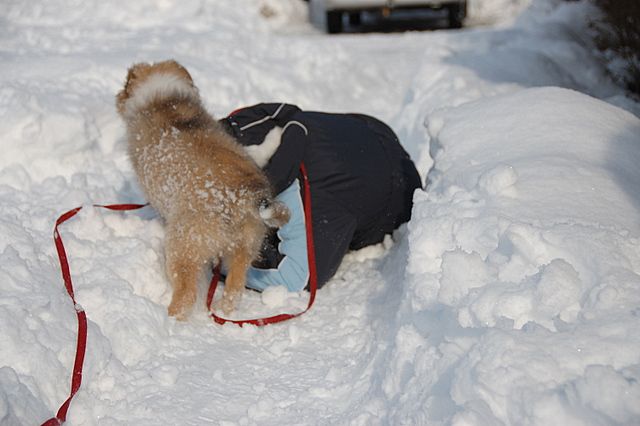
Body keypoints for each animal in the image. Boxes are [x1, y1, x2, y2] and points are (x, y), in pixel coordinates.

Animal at [116, 60, 288, 320]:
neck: (165, 100)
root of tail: (243, 197)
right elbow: (259, 150)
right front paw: (276, 136)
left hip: (183, 246)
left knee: (186, 295)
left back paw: (170, 318)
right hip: (246, 246)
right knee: (234, 289)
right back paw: (224, 311)